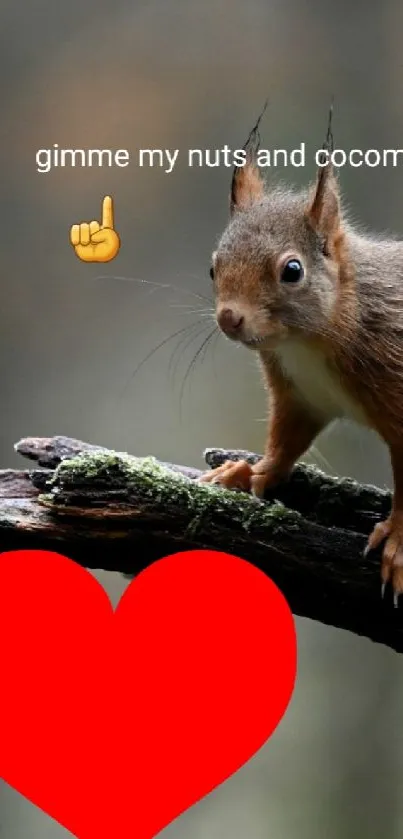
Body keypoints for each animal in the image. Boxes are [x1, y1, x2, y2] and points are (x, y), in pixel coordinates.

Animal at [200, 105, 403, 608]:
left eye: (292, 271)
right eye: (213, 267)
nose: (229, 318)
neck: (306, 342)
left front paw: (399, 540)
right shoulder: (301, 393)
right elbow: (286, 440)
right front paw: (247, 470)